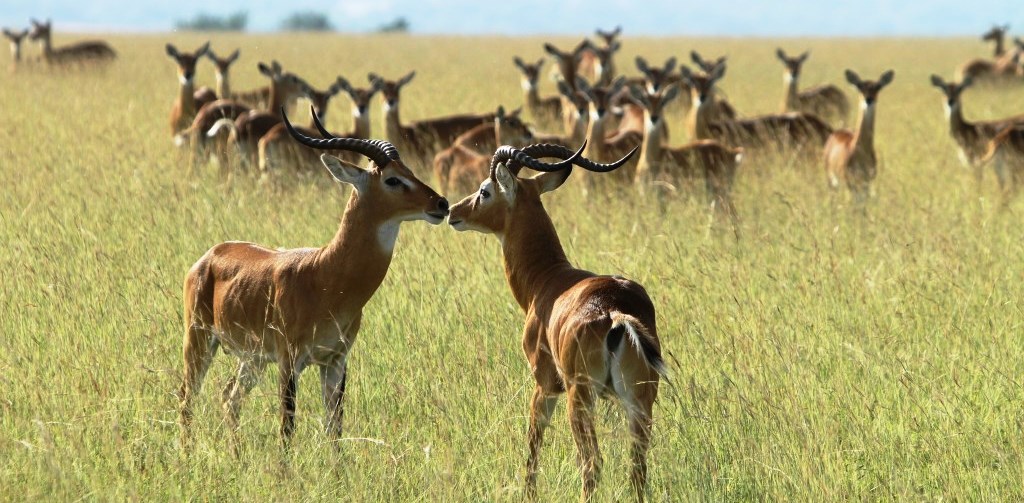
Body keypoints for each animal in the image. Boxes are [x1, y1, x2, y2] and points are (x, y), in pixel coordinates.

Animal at [179, 109, 448, 448]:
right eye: (392, 179)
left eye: (409, 170)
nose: (441, 204)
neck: (326, 276)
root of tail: (209, 255)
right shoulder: (290, 360)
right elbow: (287, 426)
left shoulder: (335, 361)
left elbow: (335, 427)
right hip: (198, 339)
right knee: (187, 398)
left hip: (253, 359)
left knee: (229, 398)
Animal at [448, 141, 663, 503]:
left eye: (484, 190)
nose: (453, 211)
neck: (546, 280)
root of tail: (616, 313)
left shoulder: (545, 384)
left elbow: (532, 444)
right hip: (638, 401)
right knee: (637, 468)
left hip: (581, 397)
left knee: (592, 463)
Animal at [819, 69, 892, 202]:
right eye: (860, 86)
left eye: (878, 87)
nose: (868, 100)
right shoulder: (849, 183)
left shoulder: (866, 183)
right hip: (831, 182)